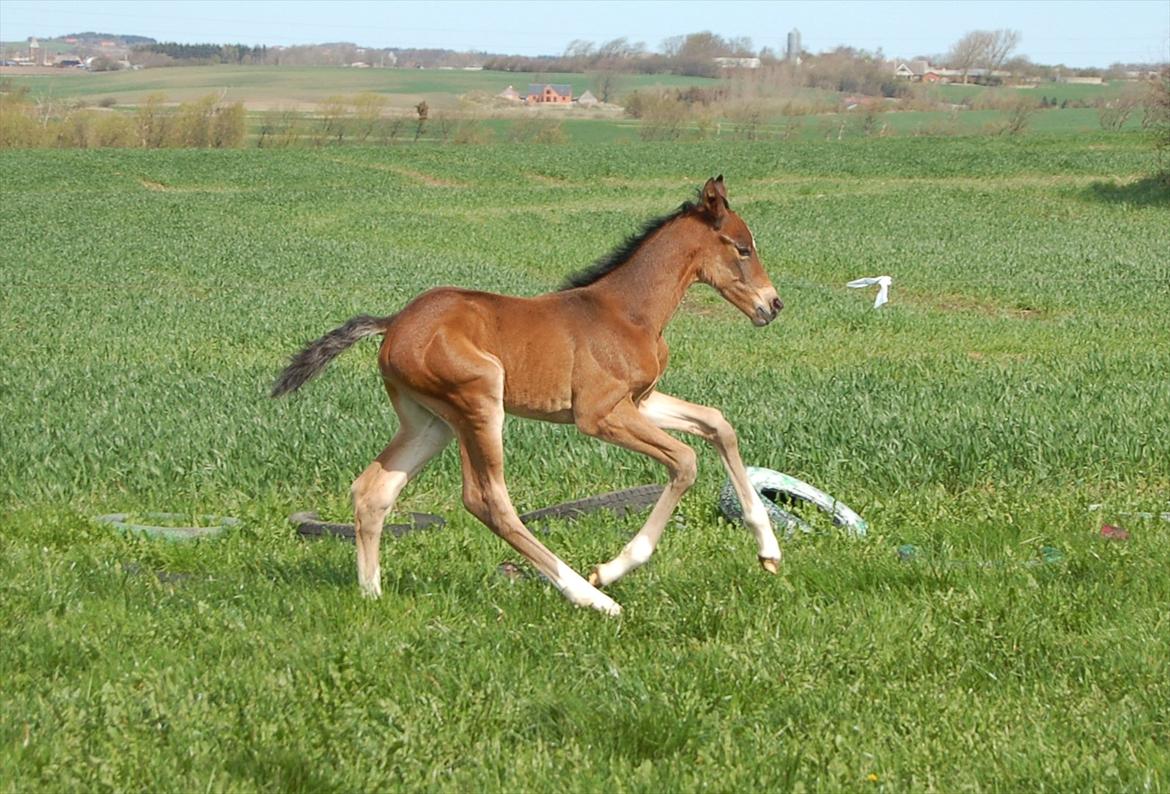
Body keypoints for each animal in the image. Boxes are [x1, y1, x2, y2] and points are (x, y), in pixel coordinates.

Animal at [273, 176, 786, 617]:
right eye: (743, 248)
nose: (774, 304)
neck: (627, 312)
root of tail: (394, 322)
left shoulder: (639, 402)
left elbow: (716, 422)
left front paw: (769, 550)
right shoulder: (597, 415)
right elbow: (684, 461)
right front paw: (612, 569)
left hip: (429, 422)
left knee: (373, 490)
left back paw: (372, 594)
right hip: (478, 402)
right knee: (486, 500)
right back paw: (590, 596)